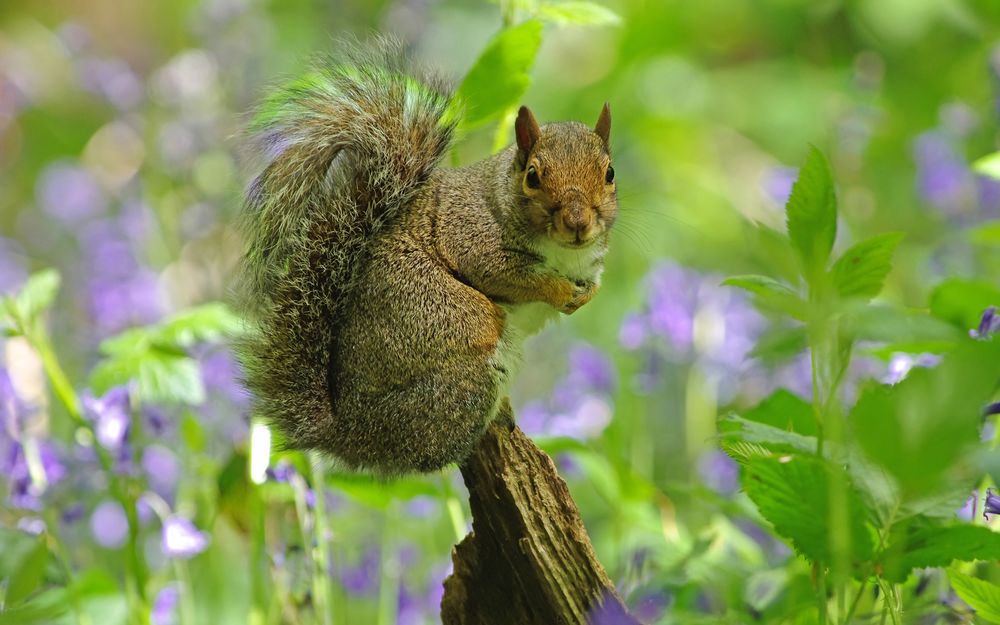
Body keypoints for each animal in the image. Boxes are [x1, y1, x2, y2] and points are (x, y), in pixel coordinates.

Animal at [240, 41, 616, 472]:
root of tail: (351, 433)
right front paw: (558, 290)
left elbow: (592, 285)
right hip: (455, 326)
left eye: (610, 173)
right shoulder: (469, 235)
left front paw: (584, 295)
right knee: (434, 452)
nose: (578, 223)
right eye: (533, 176)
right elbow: (510, 276)